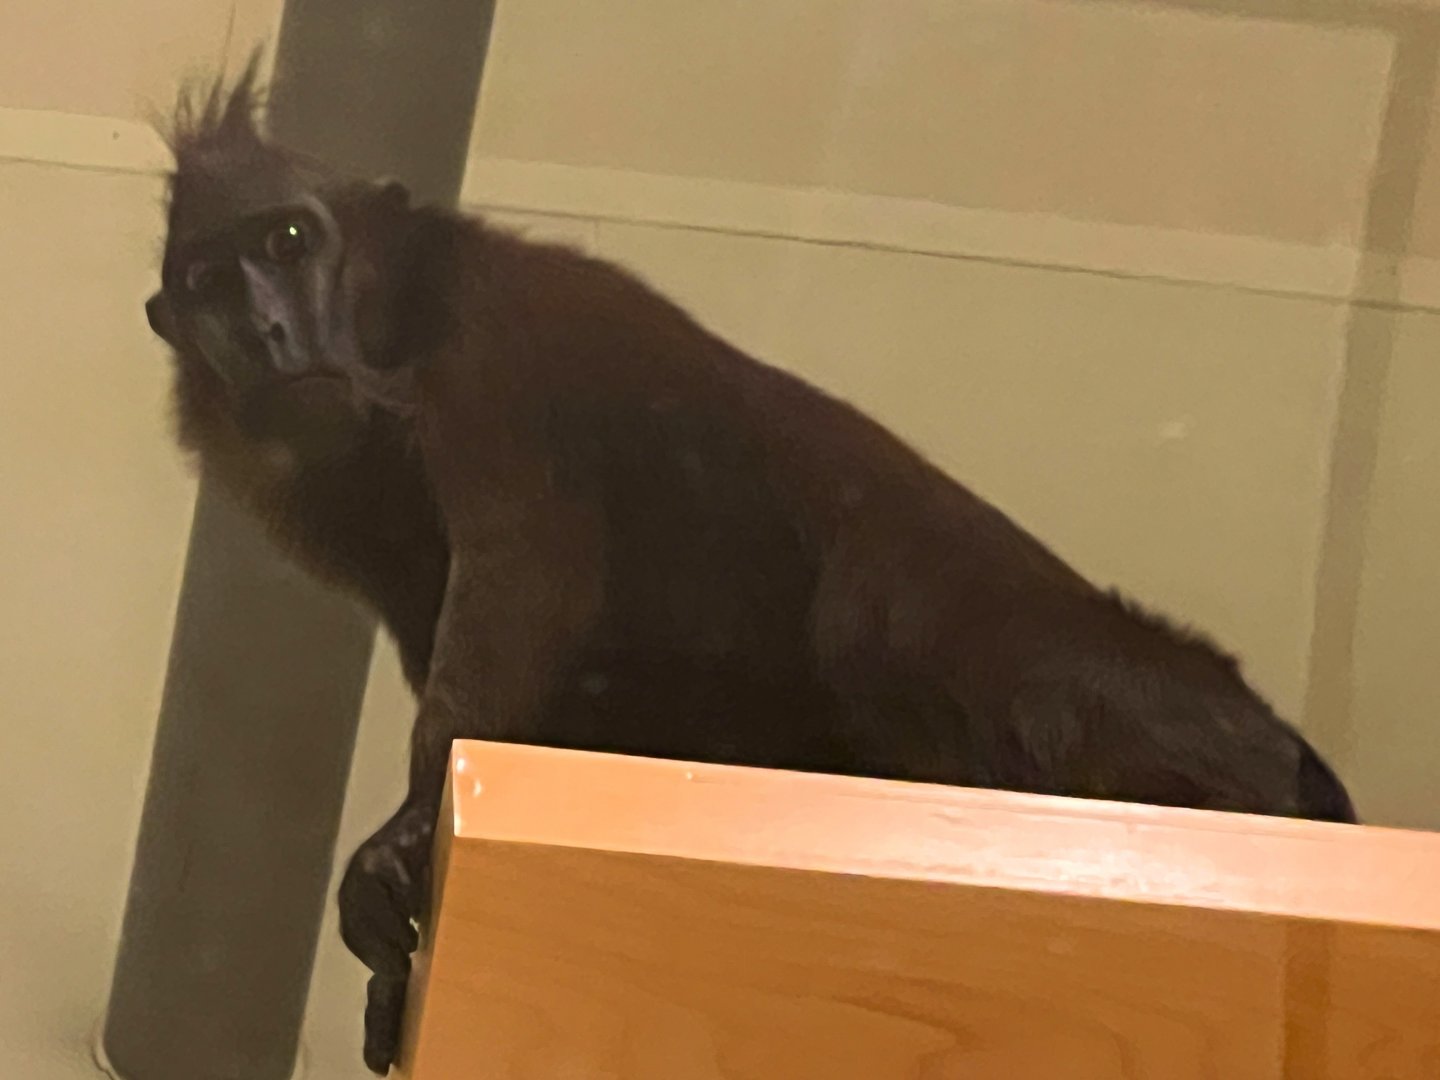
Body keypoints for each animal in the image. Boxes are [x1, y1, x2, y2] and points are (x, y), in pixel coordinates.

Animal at [144, 62, 1356, 1074]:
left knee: (894, 620)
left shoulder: (499, 356)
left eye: (290, 241)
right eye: (208, 280)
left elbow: (523, 593)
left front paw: (402, 834)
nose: (269, 331)